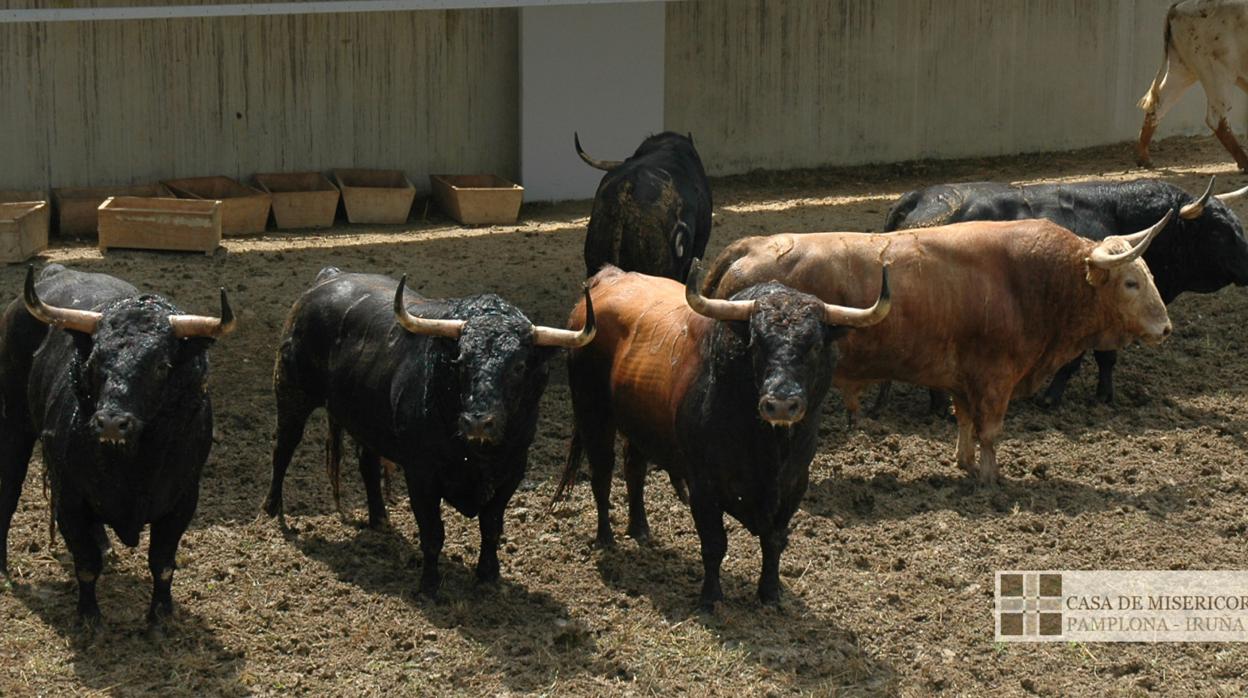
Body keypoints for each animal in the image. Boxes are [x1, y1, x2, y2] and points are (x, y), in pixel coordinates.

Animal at [0, 264, 234, 624]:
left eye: (161, 366)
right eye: (94, 362)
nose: (111, 421)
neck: (133, 466)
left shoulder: (183, 500)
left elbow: (162, 563)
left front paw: (160, 617)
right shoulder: (69, 498)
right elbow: (86, 563)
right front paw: (89, 617)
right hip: (14, 423)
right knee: (8, 491)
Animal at [260, 267, 591, 594]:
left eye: (519, 366)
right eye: (461, 361)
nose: (477, 422)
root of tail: (328, 277)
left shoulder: (512, 471)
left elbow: (491, 527)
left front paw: (488, 575)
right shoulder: (421, 474)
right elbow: (433, 533)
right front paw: (429, 585)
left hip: (365, 419)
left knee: (367, 463)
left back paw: (379, 519)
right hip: (291, 395)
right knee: (283, 449)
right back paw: (271, 509)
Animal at [708, 214, 1173, 486]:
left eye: (1150, 275)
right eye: (1131, 282)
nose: (1165, 328)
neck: (1031, 281)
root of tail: (751, 245)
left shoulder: (962, 379)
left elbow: (965, 421)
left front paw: (965, 463)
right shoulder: (995, 378)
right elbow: (990, 432)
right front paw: (990, 480)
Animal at [878, 177, 1248, 412]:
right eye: (1219, 231)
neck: (1113, 213)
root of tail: (919, 197)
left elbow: (1105, 357)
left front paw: (1104, 395)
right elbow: (1077, 360)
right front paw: (1052, 398)